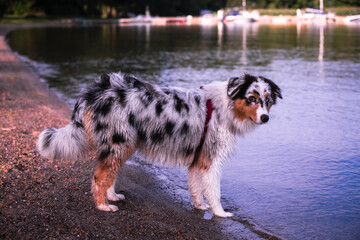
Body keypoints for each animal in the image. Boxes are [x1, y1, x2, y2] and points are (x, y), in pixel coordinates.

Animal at [38, 71, 282, 218]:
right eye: (252, 98)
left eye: (267, 100)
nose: (265, 118)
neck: (224, 107)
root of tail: (98, 89)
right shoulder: (210, 160)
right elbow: (214, 191)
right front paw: (220, 213)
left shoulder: (197, 158)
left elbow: (196, 187)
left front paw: (199, 206)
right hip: (120, 143)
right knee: (99, 176)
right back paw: (103, 205)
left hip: (123, 145)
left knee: (109, 174)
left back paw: (111, 196)